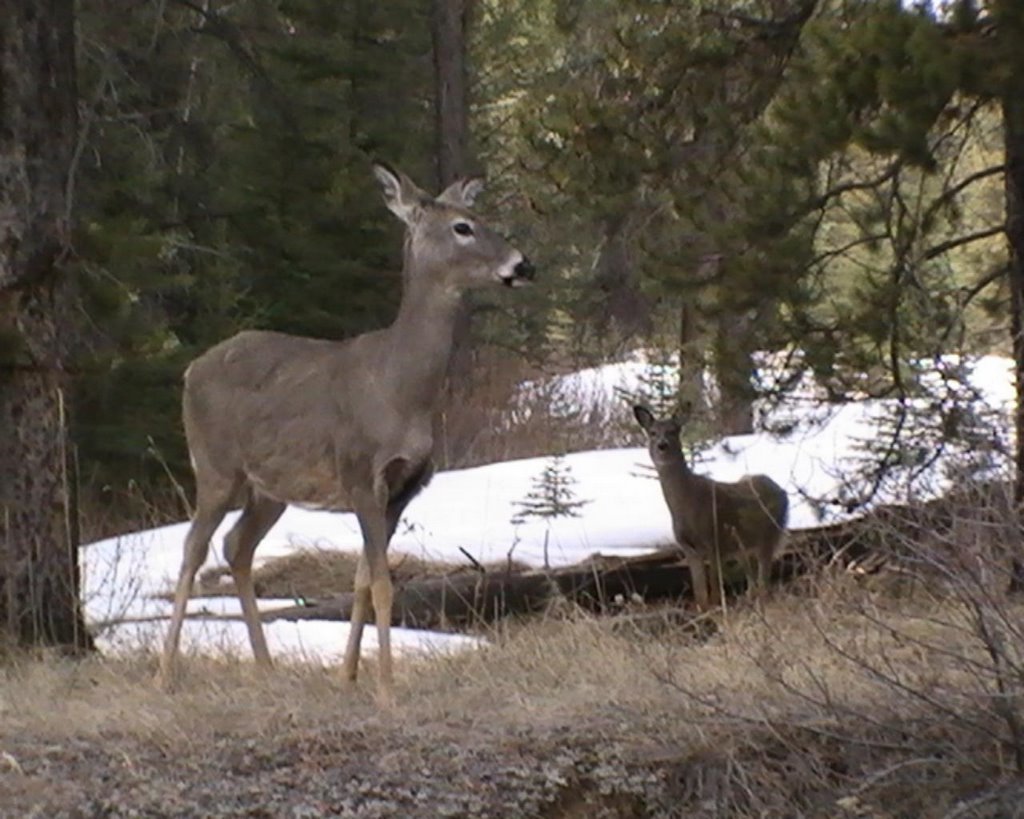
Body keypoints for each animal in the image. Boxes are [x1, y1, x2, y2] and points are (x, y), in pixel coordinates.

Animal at [159, 162, 536, 700]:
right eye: (463, 226)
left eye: (480, 217)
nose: (523, 265)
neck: (400, 389)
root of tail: (191, 369)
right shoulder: (360, 472)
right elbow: (382, 583)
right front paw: (387, 690)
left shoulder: (406, 486)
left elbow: (362, 579)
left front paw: (349, 675)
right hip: (214, 465)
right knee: (194, 550)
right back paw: (164, 674)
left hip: (270, 488)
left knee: (237, 546)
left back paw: (266, 668)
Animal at [630, 405, 790, 610]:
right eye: (652, 432)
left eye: (673, 431)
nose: (662, 445)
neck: (685, 505)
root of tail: (782, 491)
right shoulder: (689, 548)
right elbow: (700, 594)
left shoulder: (713, 540)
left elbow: (714, 591)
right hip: (743, 546)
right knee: (753, 582)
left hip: (770, 535)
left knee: (764, 582)